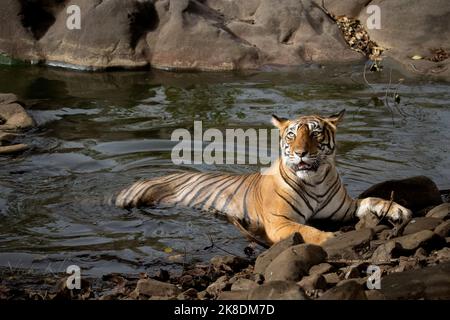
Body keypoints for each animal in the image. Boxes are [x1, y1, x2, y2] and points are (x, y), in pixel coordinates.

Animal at [115, 110, 412, 245]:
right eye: (291, 135)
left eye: (315, 133)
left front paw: (399, 210)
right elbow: (308, 230)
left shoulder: (346, 208)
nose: (301, 153)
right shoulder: (280, 222)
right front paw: (330, 239)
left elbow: (373, 200)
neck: (315, 180)